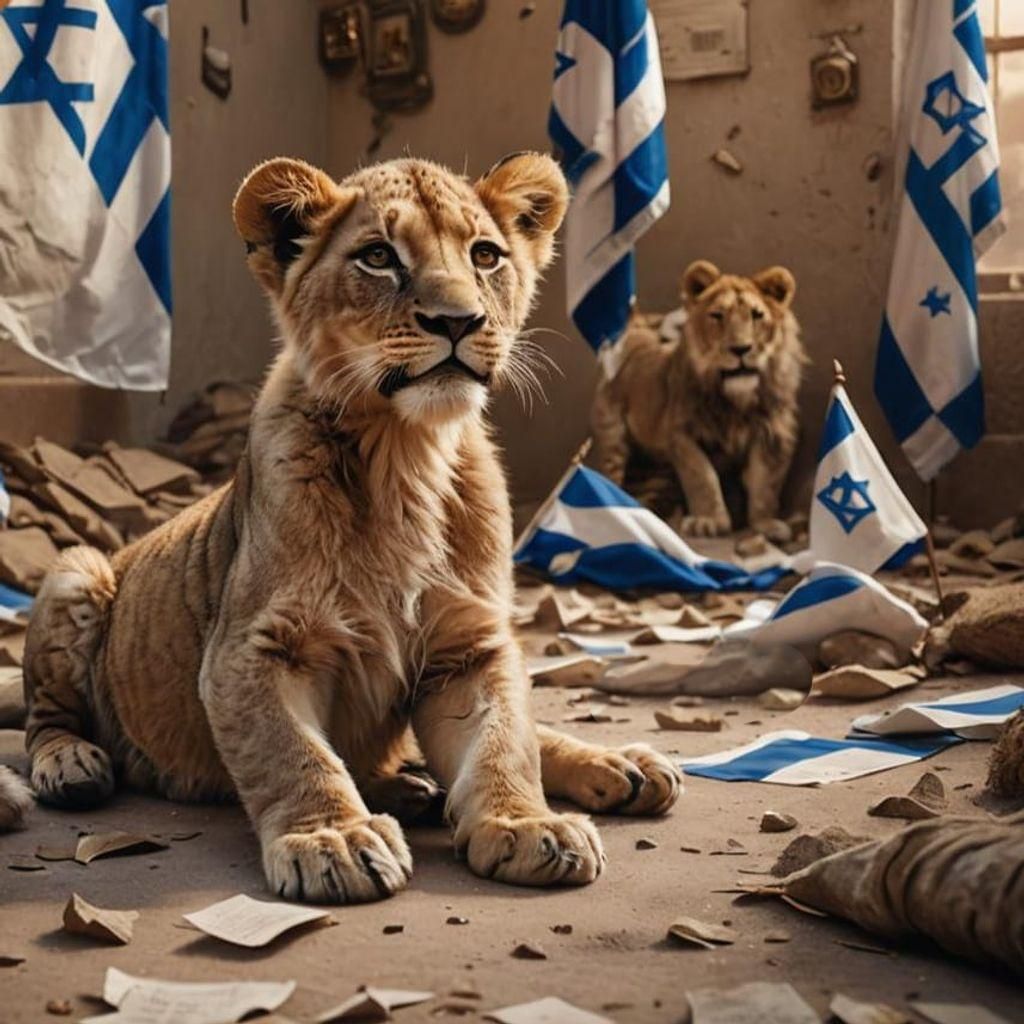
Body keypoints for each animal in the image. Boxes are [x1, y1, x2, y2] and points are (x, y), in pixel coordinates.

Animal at [1, 154, 680, 902]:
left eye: (485, 255)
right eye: (379, 257)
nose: (459, 320)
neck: (407, 456)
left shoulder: (469, 646)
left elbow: (505, 742)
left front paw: (527, 825)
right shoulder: (252, 649)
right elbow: (292, 751)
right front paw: (334, 838)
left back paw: (622, 767)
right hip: (77, 572)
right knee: (46, 714)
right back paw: (72, 764)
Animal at [591, 260, 806, 538]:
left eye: (757, 315)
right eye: (717, 315)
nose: (740, 349)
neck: (736, 402)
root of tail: (637, 334)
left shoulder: (774, 434)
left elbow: (765, 483)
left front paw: (765, 524)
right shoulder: (681, 434)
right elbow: (702, 478)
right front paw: (709, 521)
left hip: (656, 469)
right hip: (613, 438)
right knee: (611, 473)